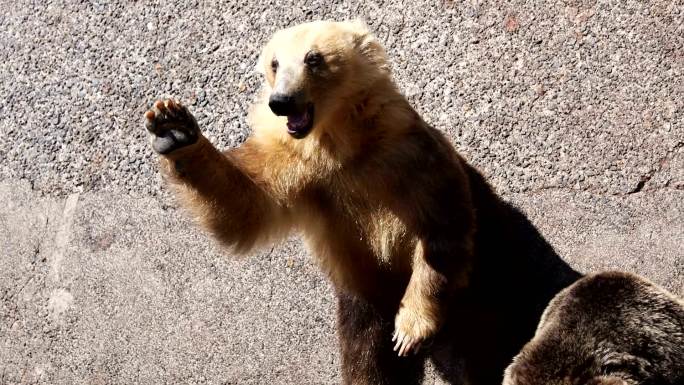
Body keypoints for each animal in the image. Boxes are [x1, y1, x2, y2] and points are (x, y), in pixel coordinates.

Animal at [146, 21, 584, 384]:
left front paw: (409, 329)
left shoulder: (408, 156)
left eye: (313, 58)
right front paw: (172, 126)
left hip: (490, 274)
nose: (282, 101)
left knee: (487, 343)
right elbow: (246, 208)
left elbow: (442, 227)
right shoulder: (298, 171)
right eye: (273, 63)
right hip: (362, 303)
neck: (340, 143)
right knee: (367, 358)